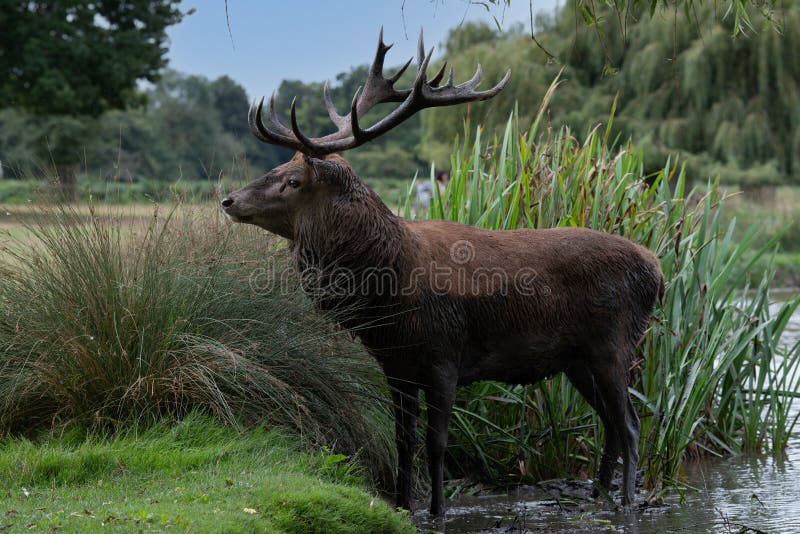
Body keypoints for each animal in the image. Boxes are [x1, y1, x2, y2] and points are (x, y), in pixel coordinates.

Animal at [219, 30, 664, 520]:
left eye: (294, 181)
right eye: (278, 168)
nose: (228, 200)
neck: (389, 292)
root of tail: (657, 271)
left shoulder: (444, 356)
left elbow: (436, 445)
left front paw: (437, 510)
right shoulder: (396, 367)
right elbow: (402, 441)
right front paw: (401, 505)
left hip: (614, 343)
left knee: (632, 424)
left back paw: (626, 502)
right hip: (577, 358)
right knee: (609, 423)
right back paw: (598, 493)